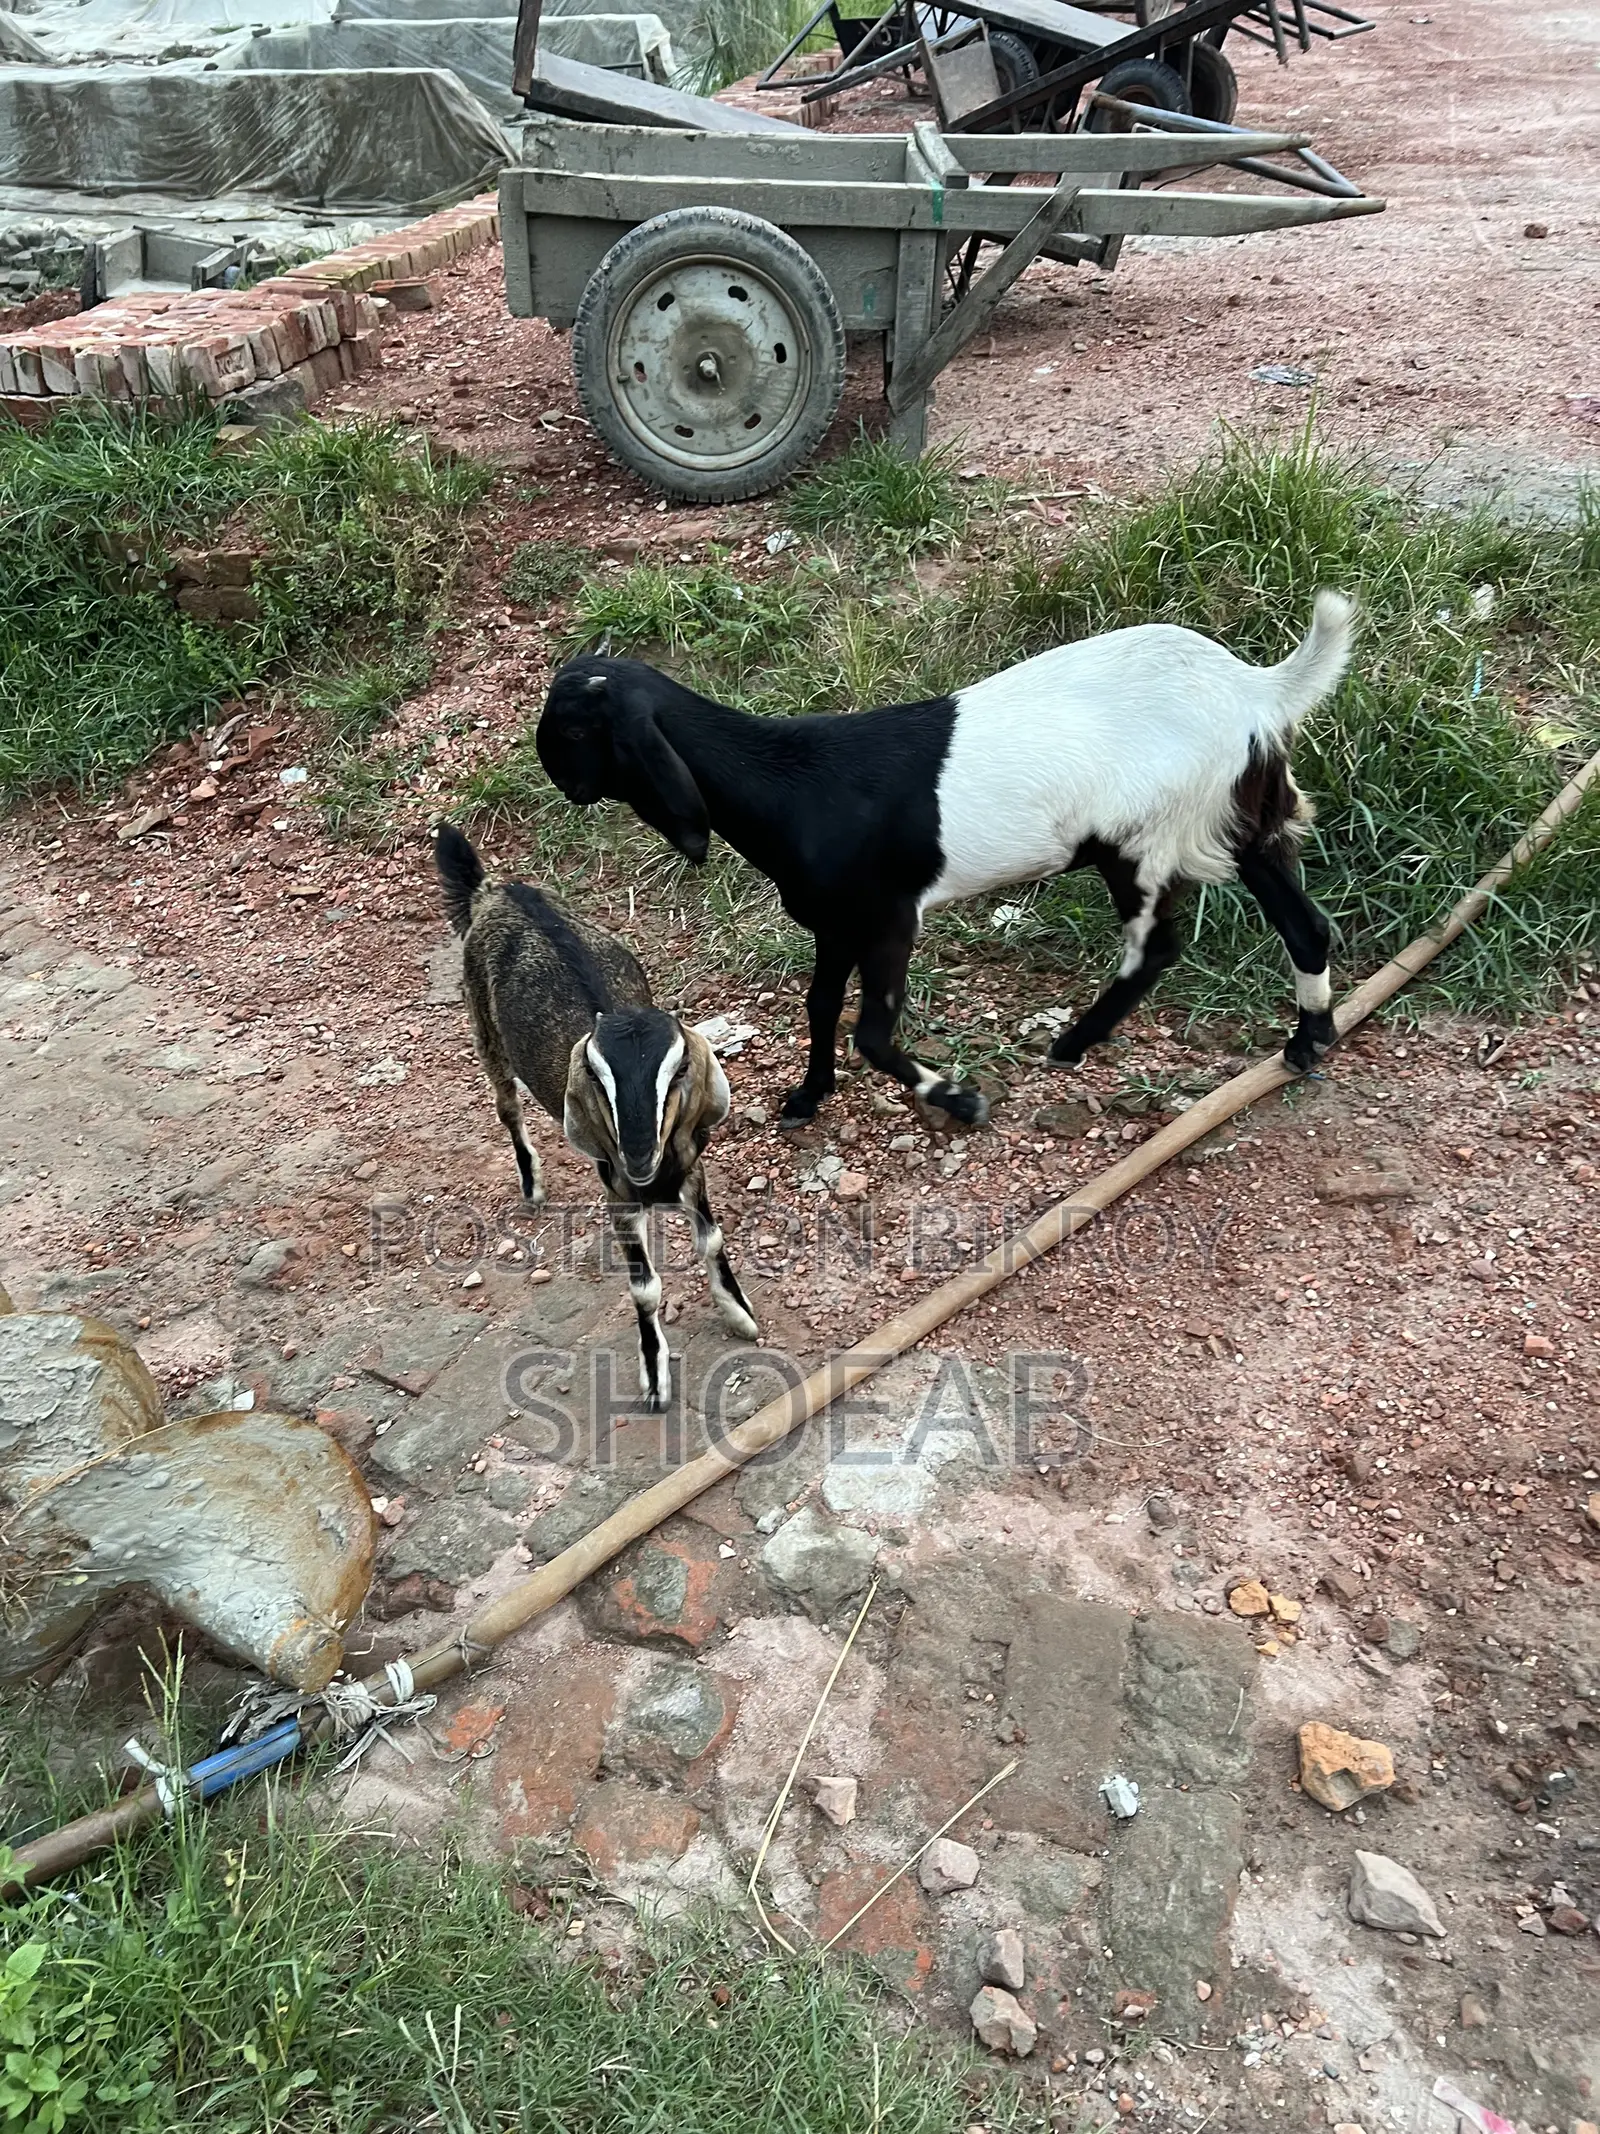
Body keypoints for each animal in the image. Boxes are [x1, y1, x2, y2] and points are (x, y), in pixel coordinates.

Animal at [434, 822, 757, 1408]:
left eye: (679, 1071)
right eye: (595, 1076)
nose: (638, 1155)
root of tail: (495, 891)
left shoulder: (691, 1165)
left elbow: (712, 1239)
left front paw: (739, 1313)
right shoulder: (618, 1195)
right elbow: (645, 1287)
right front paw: (655, 1374)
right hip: (485, 1032)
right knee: (506, 1106)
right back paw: (532, 1184)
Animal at [535, 592, 1355, 1125]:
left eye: (574, 731)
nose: (553, 774)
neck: (793, 781)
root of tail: (1254, 689)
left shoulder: (889, 917)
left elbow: (871, 1031)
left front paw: (957, 1098)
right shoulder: (834, 924)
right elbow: (820, 1004)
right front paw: (807, 1098)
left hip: (1143, 840)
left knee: (1156, 948)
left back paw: (1073, 1043)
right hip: (1243, 820)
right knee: (1306, 925)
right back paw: (1308, 1040)